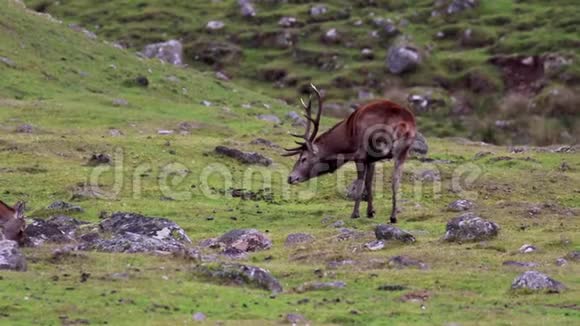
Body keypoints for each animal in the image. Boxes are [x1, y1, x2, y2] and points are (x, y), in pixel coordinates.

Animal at [284, 84, 414, 223]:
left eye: (303, 158)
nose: (290, 177)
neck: (347, 143)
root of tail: (404, 124)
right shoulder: (371, 159)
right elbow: (369, 182)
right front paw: (370, 212)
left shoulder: (360, 155)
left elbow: (361, 184)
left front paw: (355, 214)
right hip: (403, 151)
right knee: (396, 181)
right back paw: (393, 216)